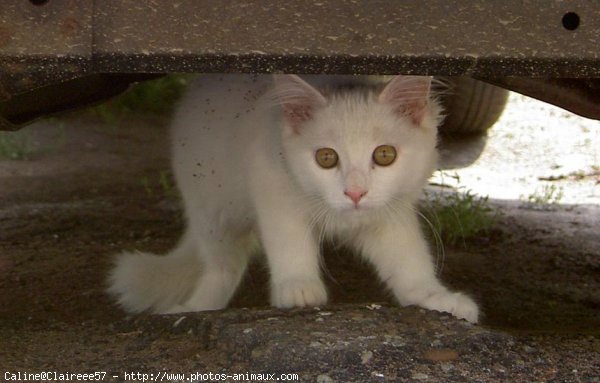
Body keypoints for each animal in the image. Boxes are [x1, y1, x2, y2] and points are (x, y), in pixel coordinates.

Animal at [106, 73, 478, 322]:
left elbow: (410, 264)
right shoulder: (275, 195)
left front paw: (437, 298)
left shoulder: (393, 218)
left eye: (384, 155)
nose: (355, 192)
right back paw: (195, 308)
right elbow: (291, 246)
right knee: (222, 267)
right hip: (212, 210)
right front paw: (299, 288)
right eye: (326, 158)